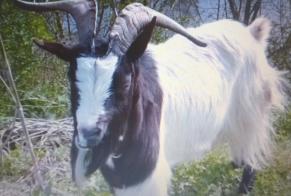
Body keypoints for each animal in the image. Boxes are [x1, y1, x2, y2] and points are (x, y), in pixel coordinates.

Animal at [16, 0, 288, 195]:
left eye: (125, 80)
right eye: (72, 77)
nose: (88, 133)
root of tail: (253, 33)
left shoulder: (149, 178)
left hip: (253, 112)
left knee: (252, 158)